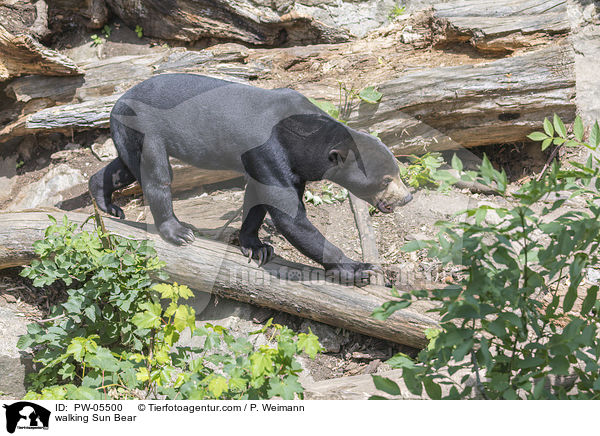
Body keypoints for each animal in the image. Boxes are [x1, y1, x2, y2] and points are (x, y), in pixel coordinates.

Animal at [89, 74, 412, 286]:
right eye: (385, 180)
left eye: (398, 172)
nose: (407, 197)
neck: (300, 137)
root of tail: (116, 102)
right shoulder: (267, 150)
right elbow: (289, 216)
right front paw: (362, 268)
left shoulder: (288, 166)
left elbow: (258, 200)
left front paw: (257, 247)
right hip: (145, 128)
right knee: (157, 174)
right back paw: (178, 232)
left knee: (122, 168)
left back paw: (106, 202)